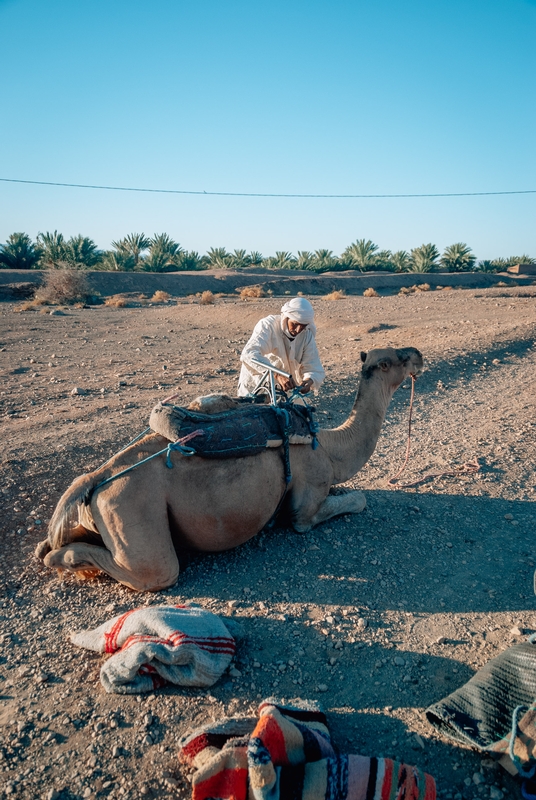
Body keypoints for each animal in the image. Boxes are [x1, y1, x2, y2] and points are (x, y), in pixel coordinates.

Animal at [36, 346, 422, 592]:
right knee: (156, 571)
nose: (418, 353)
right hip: (129, 508)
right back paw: (60, 558)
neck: (329, 447)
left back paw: (51, 550)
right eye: (393, 360)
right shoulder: (305, 506)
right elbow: (355, 501)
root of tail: (97, 479)